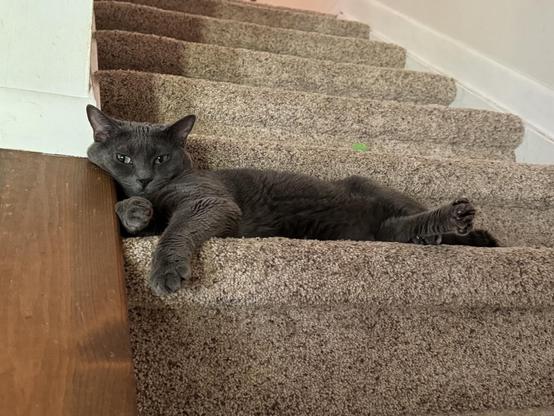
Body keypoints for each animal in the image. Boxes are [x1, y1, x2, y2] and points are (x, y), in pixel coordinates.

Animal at [85, 105, 496, 298]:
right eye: (123, 158)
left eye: (160, 158)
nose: (143, 178)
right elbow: (132, 216)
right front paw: (135, 211)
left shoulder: (209, 201)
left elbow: (176, 229)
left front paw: (166, 272)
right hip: (381, 233)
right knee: (402, 230)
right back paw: (443, 228)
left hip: (376, 190)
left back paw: (463, 222)